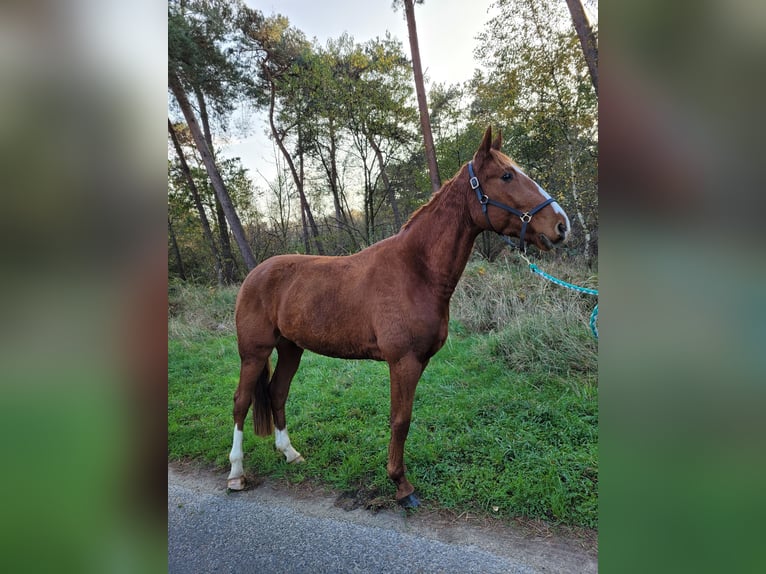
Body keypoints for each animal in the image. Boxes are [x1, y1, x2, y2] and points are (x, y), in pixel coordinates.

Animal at [225, 127, 572, 508]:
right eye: (507, 175)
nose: (561, 225)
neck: (416, 270)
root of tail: (255, 274)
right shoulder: (402, 361)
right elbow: (400, 421)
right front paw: (402, 486)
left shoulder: (419, 361)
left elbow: (403, 419)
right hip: (254, 353)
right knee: (241, 402)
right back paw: (236, 473)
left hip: (290, 348)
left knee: (277, 393)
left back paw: (290, 453)